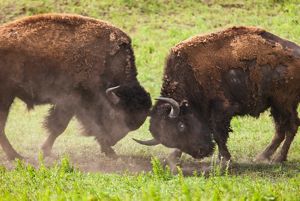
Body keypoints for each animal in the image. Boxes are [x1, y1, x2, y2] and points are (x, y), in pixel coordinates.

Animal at [0, 13, 151, 160]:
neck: (106, 61)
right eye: (116, 116)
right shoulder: (74, 101)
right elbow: (61, 126)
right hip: (6, 98)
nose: (112, 141)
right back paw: (15, 156)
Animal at [135, 26, 300, 165]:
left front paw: (225, 159)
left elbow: (219, 134)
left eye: (181, 126)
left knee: (290, 126)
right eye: (169, 138)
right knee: (281, 129)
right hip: (276, 105)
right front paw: (173, 158)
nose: (201, 152)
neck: (190, 76)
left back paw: (278, 158)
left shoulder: (222, 109)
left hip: (284, 103)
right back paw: (262, 157)